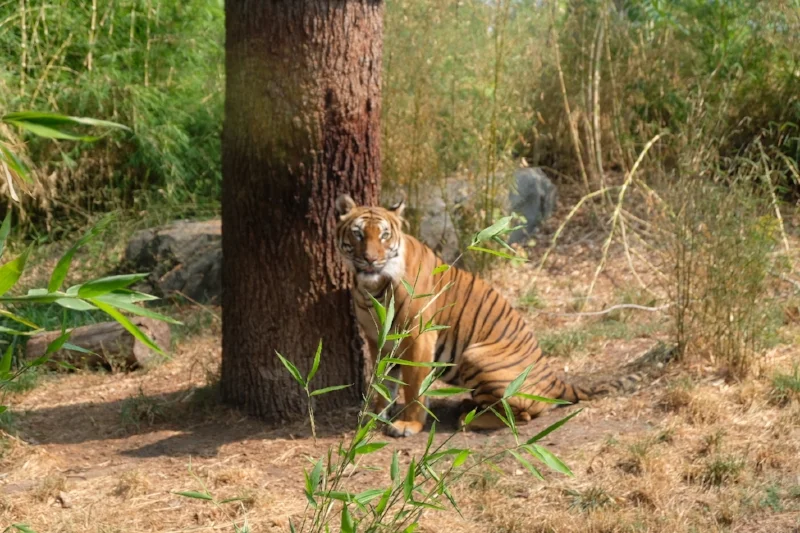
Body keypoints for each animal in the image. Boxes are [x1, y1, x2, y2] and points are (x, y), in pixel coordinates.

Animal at [334, 193, 672, 438]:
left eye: (384, 236)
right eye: (359, 234)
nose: (370, 259)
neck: (372, 287)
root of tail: (555, 379)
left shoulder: (418, 337)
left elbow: (414, 385)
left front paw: (408, 425)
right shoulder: (378, 338)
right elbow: (382, 382)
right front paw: (374, 416)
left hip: (475, 354)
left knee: (522, 415)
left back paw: (466, 418)